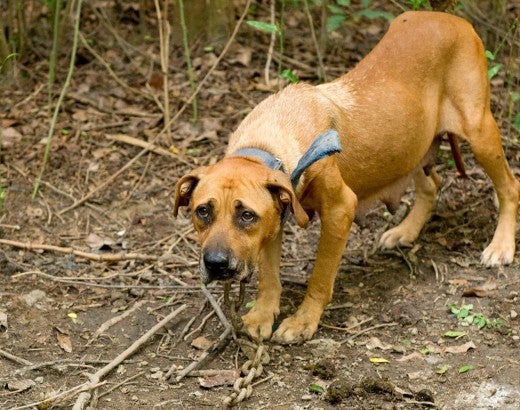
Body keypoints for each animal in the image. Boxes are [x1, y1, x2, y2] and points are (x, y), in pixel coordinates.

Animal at [176, 11, 520, 344]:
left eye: (246, 215)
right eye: (202, 212)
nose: (216, 264)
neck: (266, 144)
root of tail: (456, 20)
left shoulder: (339, 210)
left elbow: (319, 276)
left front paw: (303, 321)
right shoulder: (275, 219)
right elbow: (268, 276)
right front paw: (262, 314)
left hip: (479, 131)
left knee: (509, 186)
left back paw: (501, 246)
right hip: (413, 148)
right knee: (432, 184)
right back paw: (405, 231)